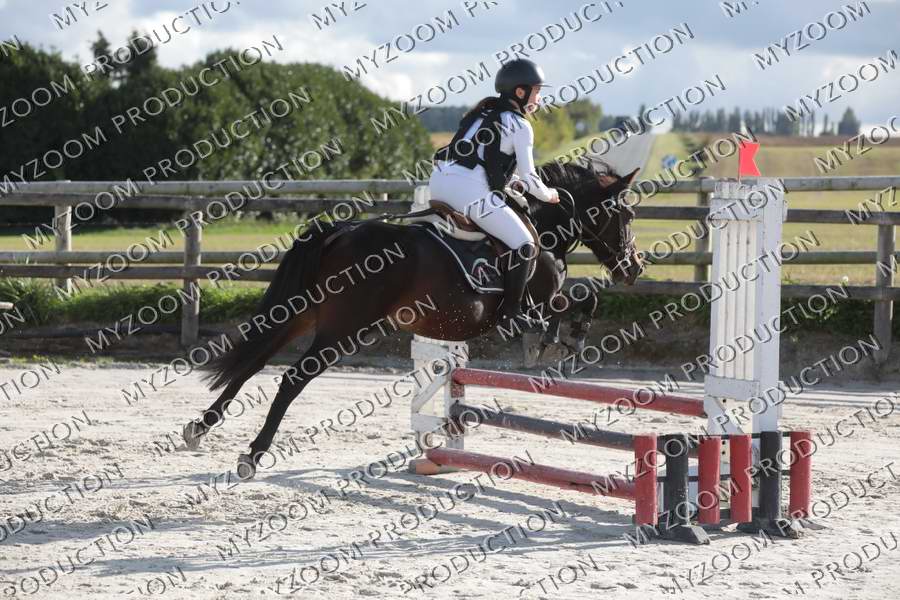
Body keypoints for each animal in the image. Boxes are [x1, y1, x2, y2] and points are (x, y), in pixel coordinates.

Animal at [183, 160, 644, 479]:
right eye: (626, 215)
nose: (634, 267)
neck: (545, 226)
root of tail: (340, 232)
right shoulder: (539, 297)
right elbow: (579, 301)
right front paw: (559, 341)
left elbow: (583, 297)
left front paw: (560, 341)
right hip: (343, 329)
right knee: (293, 377)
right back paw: (254, 453)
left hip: (300, 314)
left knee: (254, 361)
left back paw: (200, 428)